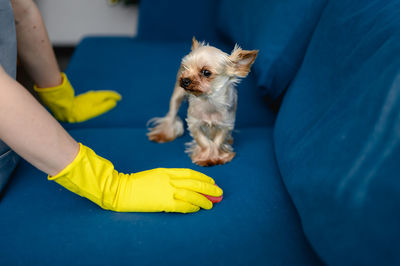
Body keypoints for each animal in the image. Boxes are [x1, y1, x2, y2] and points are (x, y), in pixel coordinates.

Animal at [148, 37, 258, 166]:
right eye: (186, 67)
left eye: (206, 72)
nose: (185, 80)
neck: (208, 100)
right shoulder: (194, 123)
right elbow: (203, 141)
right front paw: (205, 158)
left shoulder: (225, 124)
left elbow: (218, 141)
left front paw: (217, 156)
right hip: (177, 96)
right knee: (171, 114)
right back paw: (164, 134)